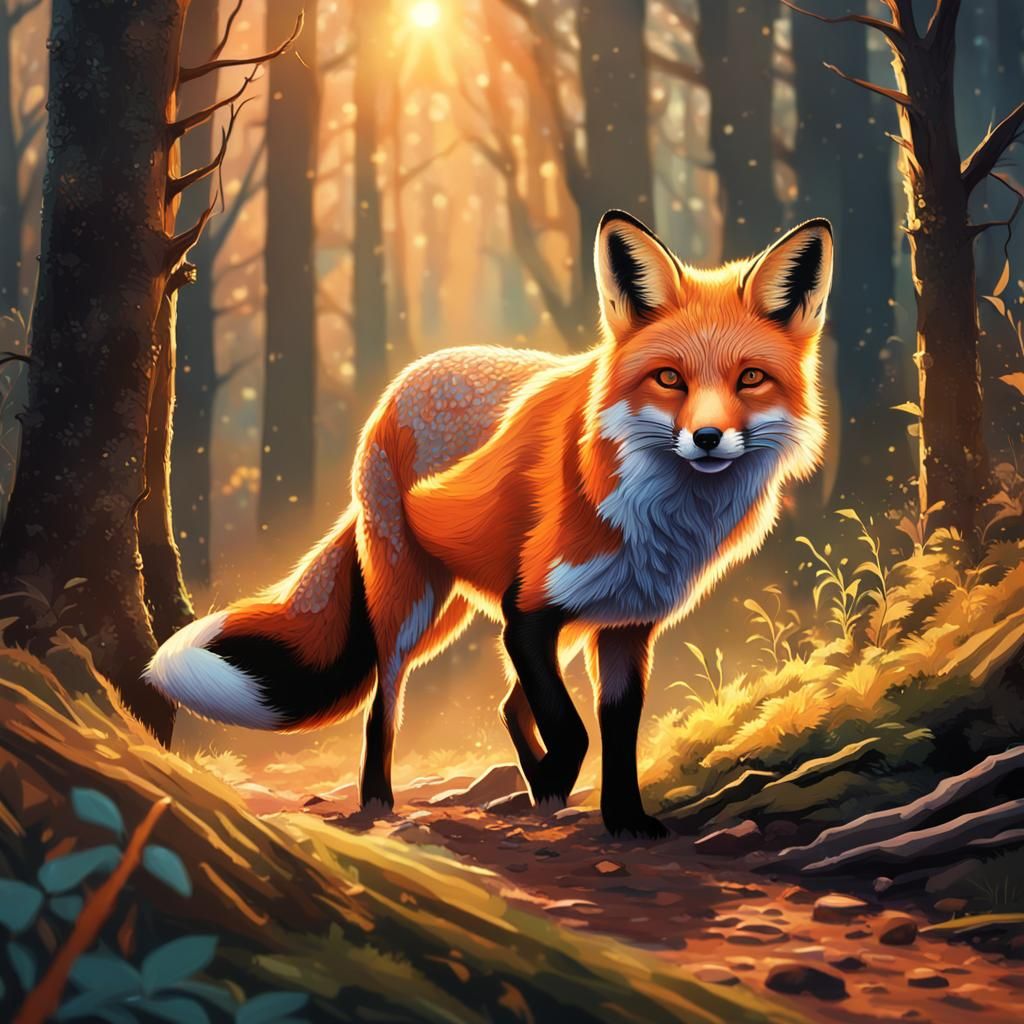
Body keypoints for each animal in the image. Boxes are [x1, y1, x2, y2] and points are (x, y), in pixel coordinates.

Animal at [146, 211, 832, 838]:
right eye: (669, 378)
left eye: (750, 378)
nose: (708, 438)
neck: (658, 520)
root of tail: (402, 380)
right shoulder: (527, 613)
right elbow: (573, 731)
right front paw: (557, 779)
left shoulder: (624, 628)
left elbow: (616, 734)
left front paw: (623, 818)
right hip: (415, 607)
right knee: (382, 706)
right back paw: (380, 802)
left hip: (483, 611)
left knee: (503, 706)